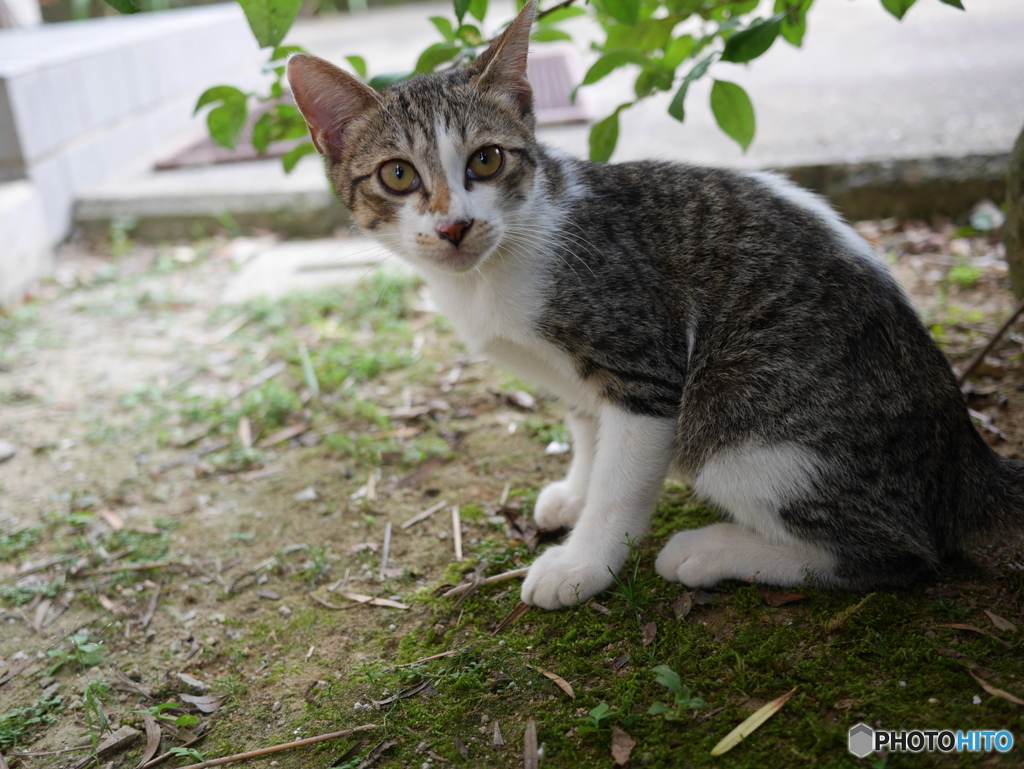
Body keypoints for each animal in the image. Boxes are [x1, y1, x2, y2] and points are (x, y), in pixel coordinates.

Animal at [286, 3, 1024, 610]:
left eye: (487, 160)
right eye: (398, 175)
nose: (455, 226)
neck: (495, 268)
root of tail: (964, 453)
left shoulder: (643, 363)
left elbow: (623, 478)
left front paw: (584, 562)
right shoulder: (579, 377)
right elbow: (588, 425)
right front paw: (576, 489)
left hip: (743, 430)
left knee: (898, 552)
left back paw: (713, 551)